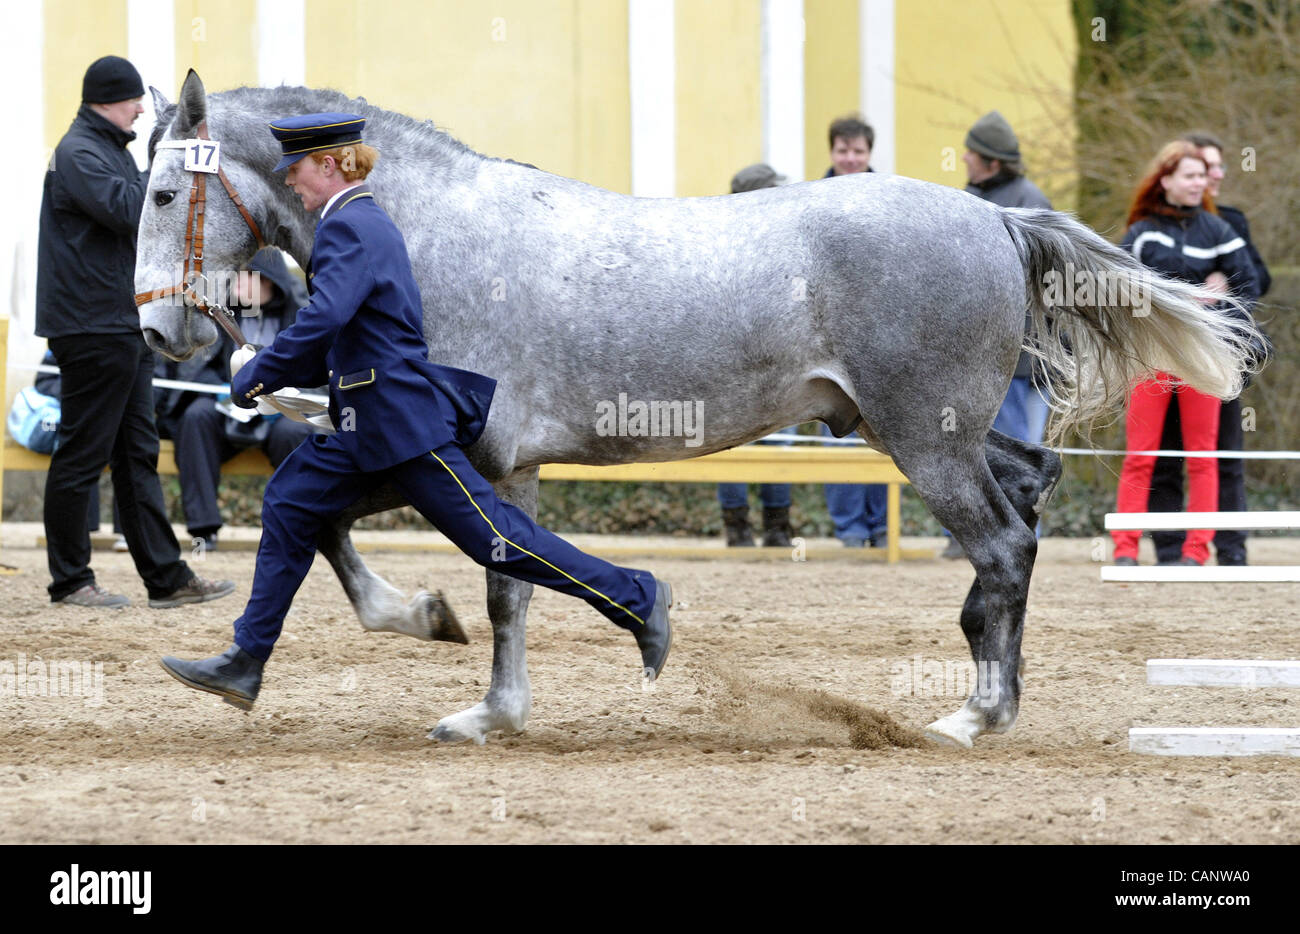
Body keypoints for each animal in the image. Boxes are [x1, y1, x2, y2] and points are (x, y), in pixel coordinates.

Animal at [134, 71, 1258, 754]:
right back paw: (997, 699)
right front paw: (435, 639)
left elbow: (492, 579)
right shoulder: (463, 457)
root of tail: (994, 217)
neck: (427, 233)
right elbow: (422, 557)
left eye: (160, 194)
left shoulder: (461, 453)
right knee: (1026, 504)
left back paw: (972, 715)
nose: (161, 335)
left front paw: (482, 700)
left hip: (924, 443)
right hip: (937, 432)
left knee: (1004, 548)